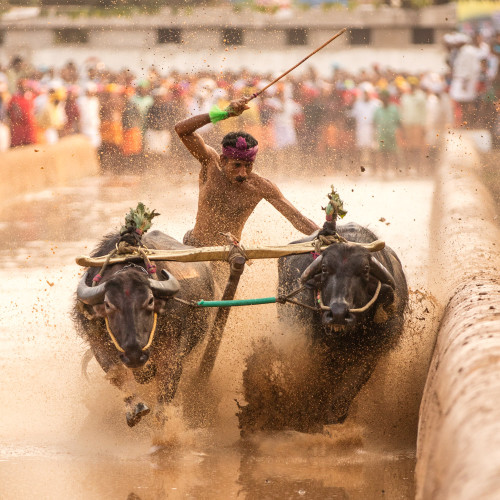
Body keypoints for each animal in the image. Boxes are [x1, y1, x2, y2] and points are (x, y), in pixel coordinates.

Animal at [72, 230, 215, 426]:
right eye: (108, 305)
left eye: (150, 300)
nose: (134, 355)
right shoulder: (99, 345)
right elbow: (118, 376)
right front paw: (137, 409)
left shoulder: (174, 353)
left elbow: (166, 392)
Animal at [237, 223, 406, 434]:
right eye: (325, 269)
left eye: (365, 270)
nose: (338, 313)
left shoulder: (373, 353)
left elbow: (349, 389)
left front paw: (331, 416)